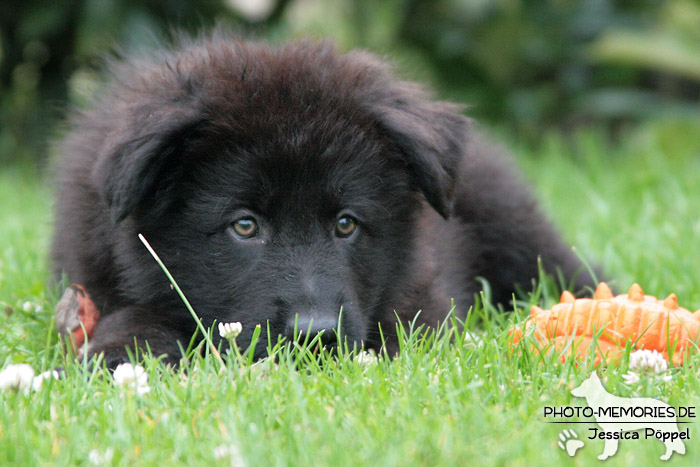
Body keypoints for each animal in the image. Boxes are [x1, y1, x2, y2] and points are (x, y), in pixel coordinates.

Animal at [52, 33, 592, 370]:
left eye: (346, 223)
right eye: (244, 226)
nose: (314, 336)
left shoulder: (422, 291)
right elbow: (140, 312)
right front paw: (121, 354)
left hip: (517, 231)